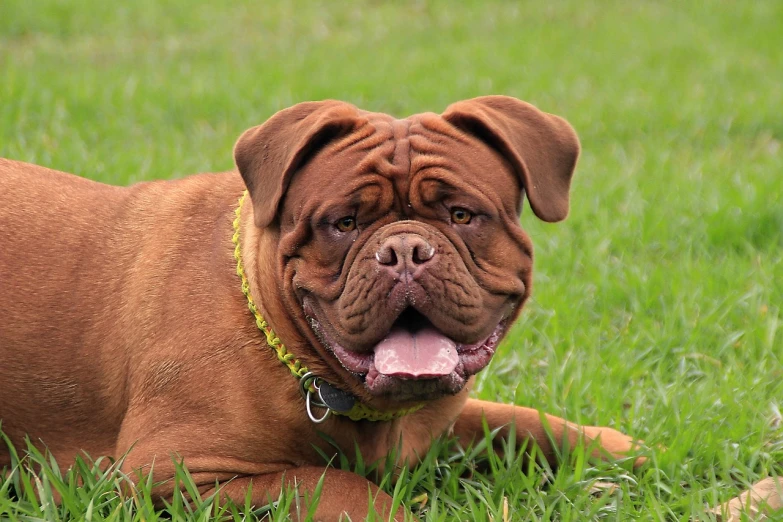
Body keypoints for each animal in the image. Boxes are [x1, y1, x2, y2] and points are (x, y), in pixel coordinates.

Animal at [0, 96, 644, 516]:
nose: (404, 250)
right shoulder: (175, 472)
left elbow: (521, 421)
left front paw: (620, 450)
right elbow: (333, 485)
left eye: (462, 215)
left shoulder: (445, 420)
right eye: (344, 223)